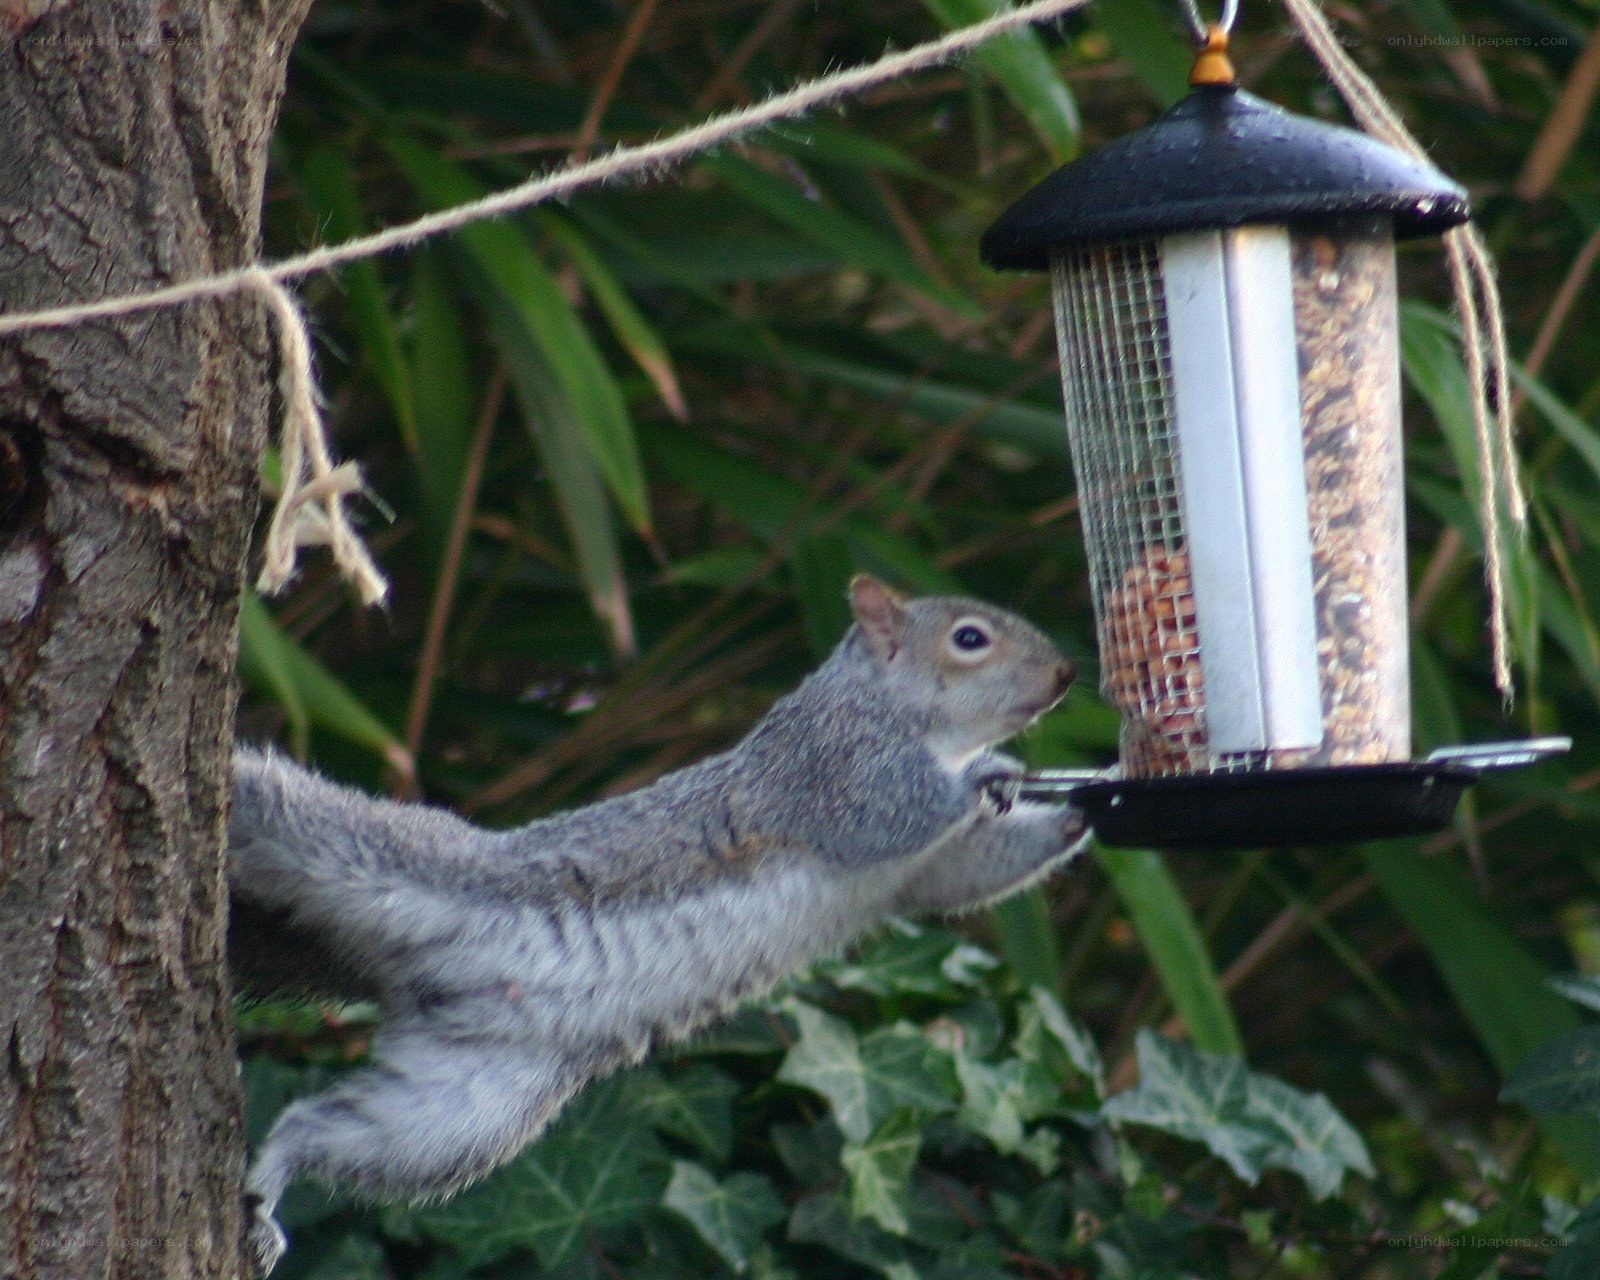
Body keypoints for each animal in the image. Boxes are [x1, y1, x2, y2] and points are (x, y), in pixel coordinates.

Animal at [229, 574, 1088, 1273]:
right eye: (970, 638)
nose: (1067, 675)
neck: (899, 714)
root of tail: (414, 984)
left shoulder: (922, 872)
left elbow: (961, 873)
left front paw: (1081, 809)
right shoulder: (827, 773)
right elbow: (887, 816)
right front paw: (991, 773)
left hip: (460, 1112)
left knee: (325, 1123)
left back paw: (269, 1185)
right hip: (371, 859)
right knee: (279, 810)